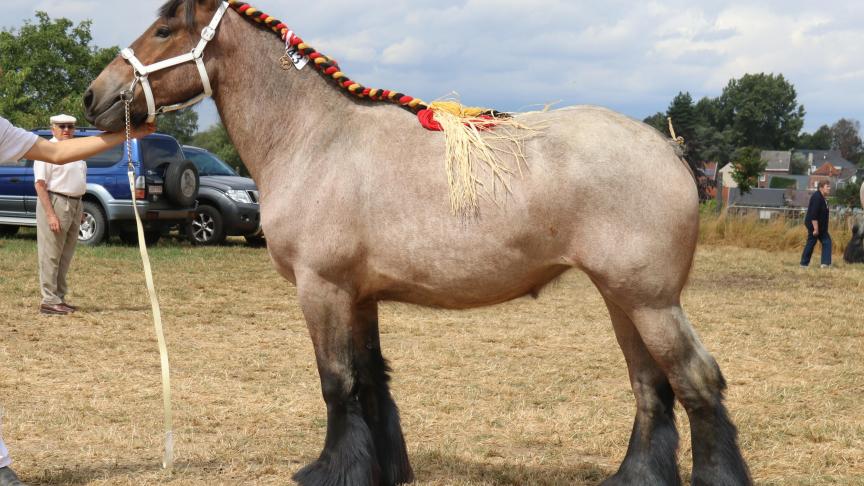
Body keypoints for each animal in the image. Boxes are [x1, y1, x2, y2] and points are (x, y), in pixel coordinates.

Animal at [84, 1, 752, 484]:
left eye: (163, 28)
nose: (96, 95)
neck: (316, 139)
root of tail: (666, 147)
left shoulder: (322, 290)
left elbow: (337, 383)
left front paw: (330, 471)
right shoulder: (360, 297)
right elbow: (371, 380)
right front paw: (381, 468)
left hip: (649, 301)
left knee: (695, 380)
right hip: (621, 299)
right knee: (651, 387)